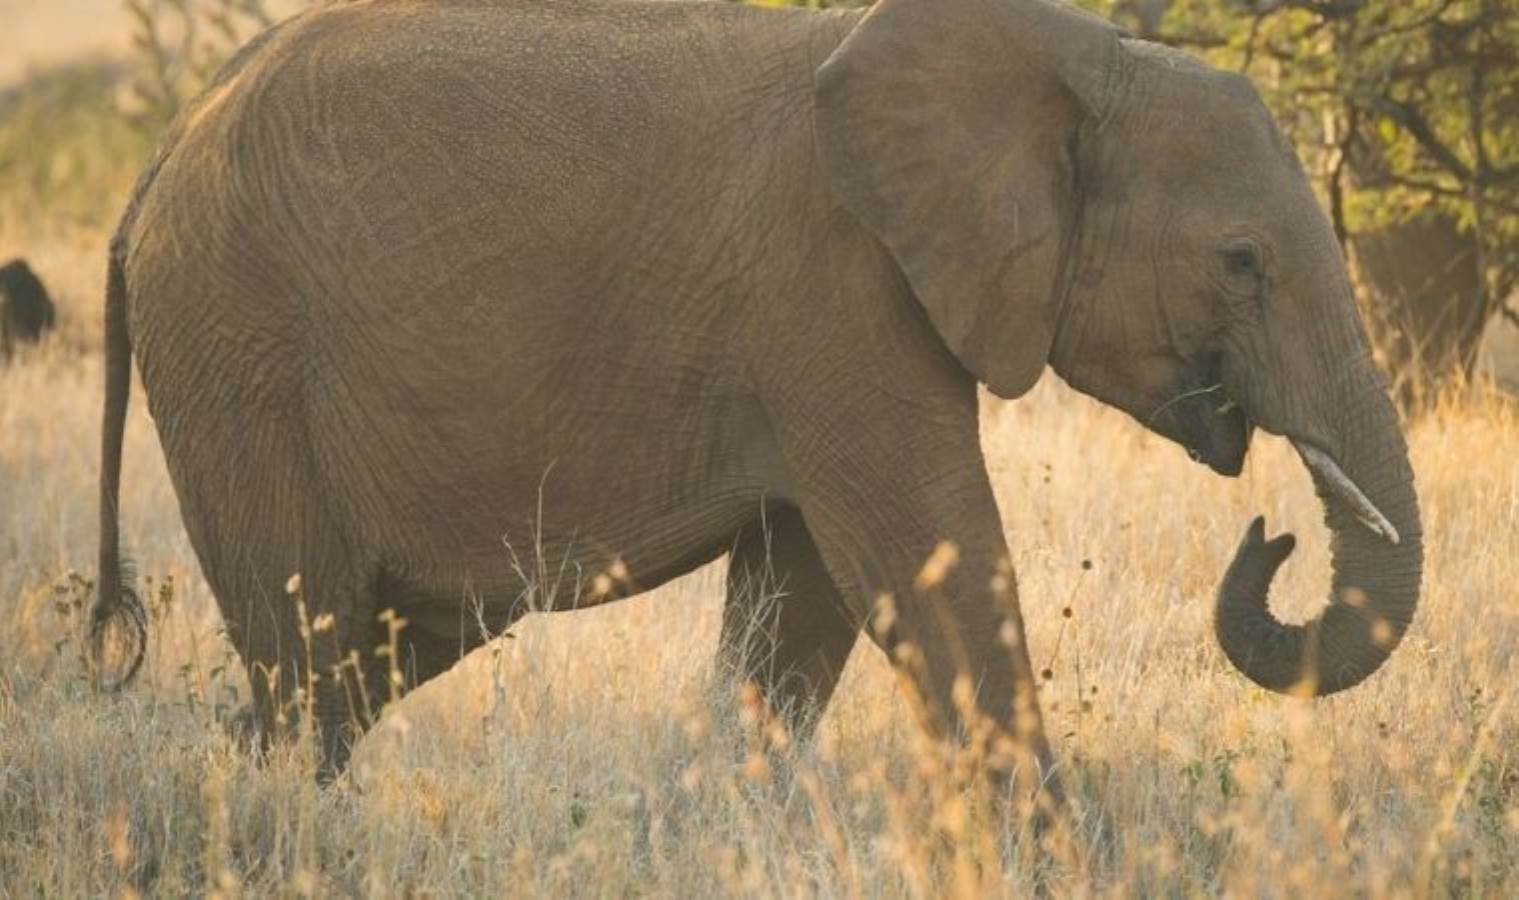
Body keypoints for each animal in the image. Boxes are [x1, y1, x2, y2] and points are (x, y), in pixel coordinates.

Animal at [91, 0, 1421, 790]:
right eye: (1240, 263)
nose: (1270, 535)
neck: (1069, 55)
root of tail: (154, 161)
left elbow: (803, 605)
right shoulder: (833, 288)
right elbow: (925, 564)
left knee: (354, 660)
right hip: (239, 365)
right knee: (309, 657)